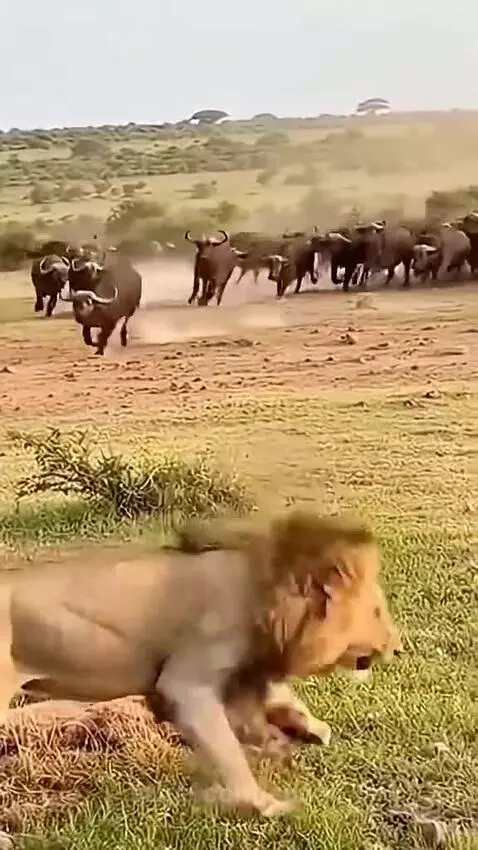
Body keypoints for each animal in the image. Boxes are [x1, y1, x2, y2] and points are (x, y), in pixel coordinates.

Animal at [9, 509, 402, 817]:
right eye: (376, 612)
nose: (400, 649)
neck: (265, 598)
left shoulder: (246, 670)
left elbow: (278, 697)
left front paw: (310, 728)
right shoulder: (186, 682)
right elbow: (228, 750)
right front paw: (265, 804)